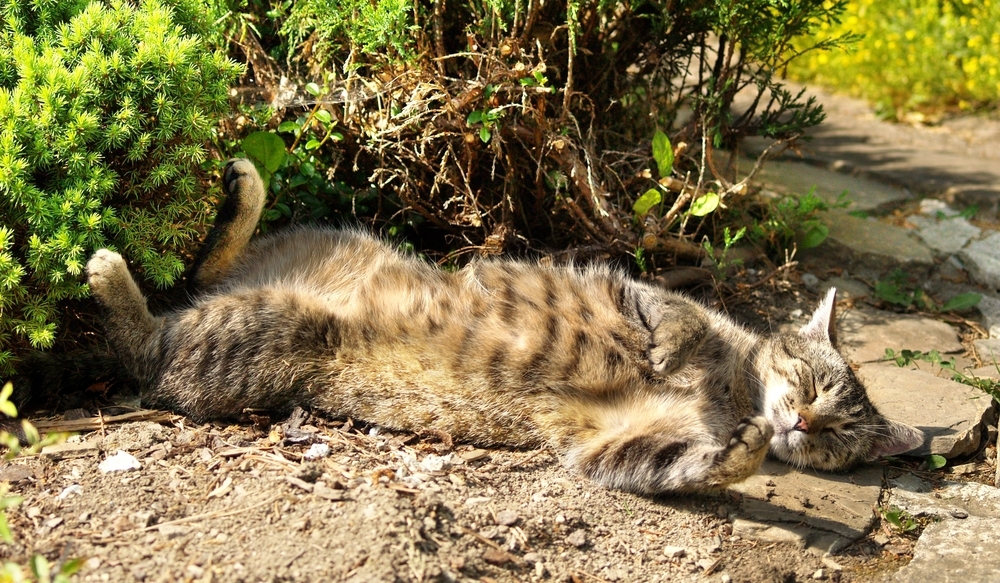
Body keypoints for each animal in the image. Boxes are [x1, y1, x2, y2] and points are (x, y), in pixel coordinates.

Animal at [86, 159, 920, 492]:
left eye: (841, 435)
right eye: (811, 382)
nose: (802, 423)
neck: (734, 390)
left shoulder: (609, 440)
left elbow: (686, 463)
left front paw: (741, 455)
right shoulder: (640, 293)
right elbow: (677, 316)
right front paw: (671, 348)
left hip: (257, 321)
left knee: (176, 310)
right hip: (270, 308)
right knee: (152, 334)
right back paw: (132, 257)